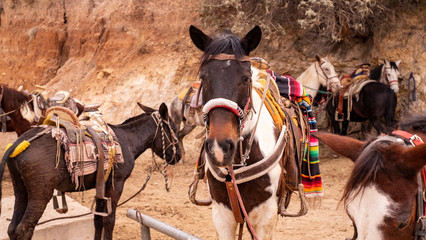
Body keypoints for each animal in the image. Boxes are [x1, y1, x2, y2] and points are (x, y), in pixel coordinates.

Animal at [0, 102, 182, 240]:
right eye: (173, 128)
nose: (179, 155)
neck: (127, 140)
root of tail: (19, 143)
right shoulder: (116, 185)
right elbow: (109, 220)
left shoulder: (102, 185)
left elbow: (98, 220)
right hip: (40, 193)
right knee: (24, 229)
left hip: (21, 190)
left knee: (12, 228)